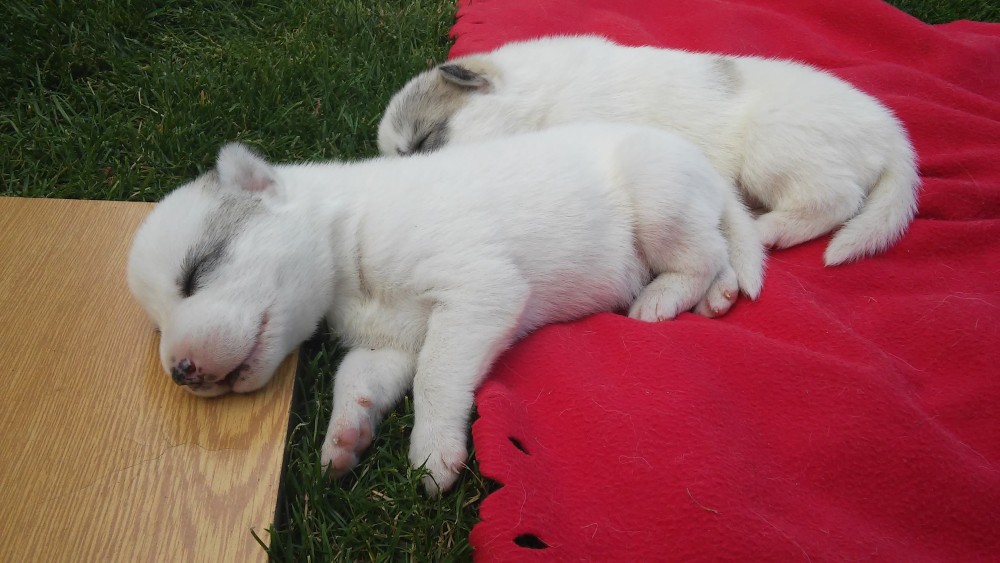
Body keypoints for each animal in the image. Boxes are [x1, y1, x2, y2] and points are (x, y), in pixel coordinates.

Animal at [127, 123, 764, 495]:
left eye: (196, 273)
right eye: (156, 324)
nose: (180, 372)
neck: (344, 229)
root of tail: (708, 169)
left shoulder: (478, 290)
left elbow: (436, 375)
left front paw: (433, 451)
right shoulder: (389, 342)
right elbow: (355, 377)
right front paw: (345, 436)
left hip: (657, 194)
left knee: (704, 251)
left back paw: (664, 297)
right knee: (719, 247)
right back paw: (718, 294)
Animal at [378, 35, 920, 266]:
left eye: (424, 143)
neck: (537, 99)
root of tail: (892, 132)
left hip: (776, 147)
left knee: (836, 198)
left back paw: (773, 228)